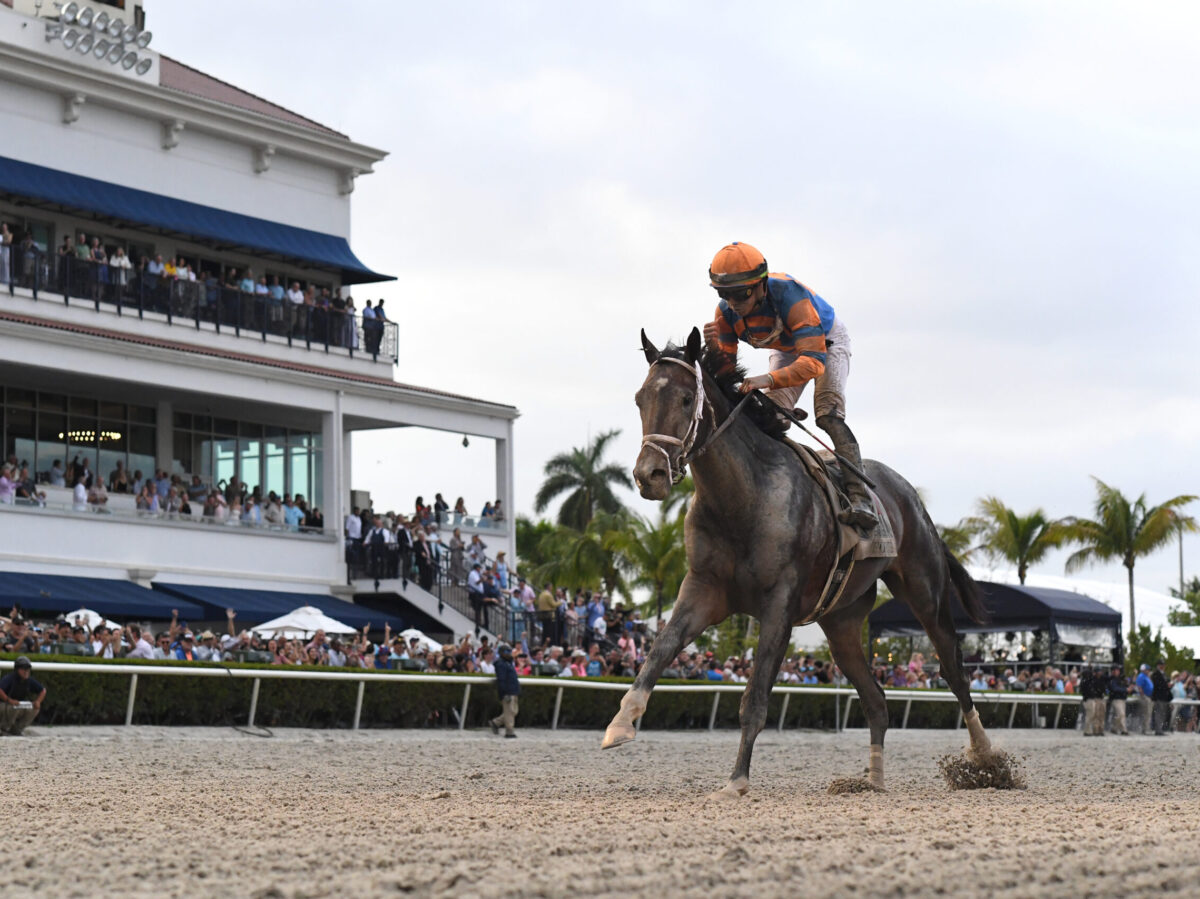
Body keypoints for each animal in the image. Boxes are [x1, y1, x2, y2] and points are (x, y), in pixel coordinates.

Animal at [604, 328, 998, 792]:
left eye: (686, 399)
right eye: (640, 399)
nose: (649, 475)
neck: (742, 498)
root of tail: (911, 497)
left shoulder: (780, 604)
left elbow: (755, 697)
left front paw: (737, 780)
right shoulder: (703, 590)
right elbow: (659, 650)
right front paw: (620, 724)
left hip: (925, 591)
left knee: (954, 669)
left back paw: (985, 756)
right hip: (842, 623)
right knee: (877, 699)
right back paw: (873, 781)